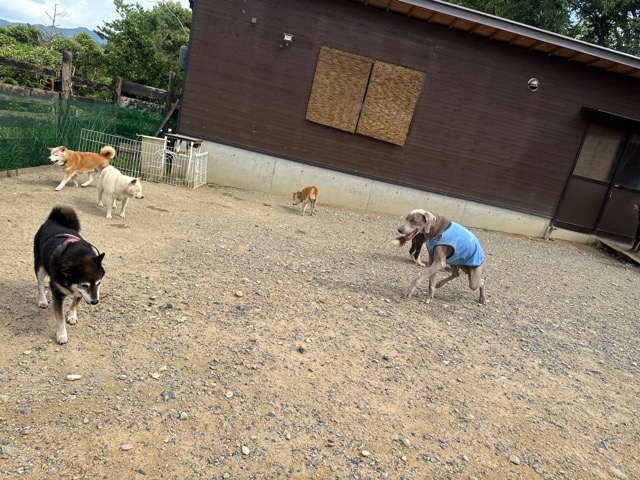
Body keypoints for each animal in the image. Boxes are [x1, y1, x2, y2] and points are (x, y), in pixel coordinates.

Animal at [33, 206, 105, 344]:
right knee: (40, 285)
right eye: (84, 285)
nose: (95, 302)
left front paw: (72, 315)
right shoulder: (57, 294)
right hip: (39, 266)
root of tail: (53, 220)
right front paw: (62, 335)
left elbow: (75, 303)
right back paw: (42, 300)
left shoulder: (79, 293)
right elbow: (60, 318)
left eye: (98, 283)